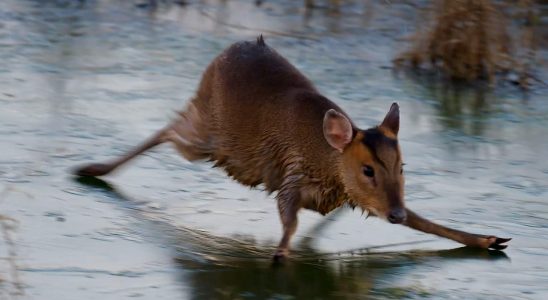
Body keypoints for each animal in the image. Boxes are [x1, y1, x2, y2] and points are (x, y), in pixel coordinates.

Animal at [73, 35, 510, 260]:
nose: (396, 213)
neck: (327, 163)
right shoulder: (290, 178)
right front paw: (280, 254)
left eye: (402, 167)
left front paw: (488, 239)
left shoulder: (357, 197)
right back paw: (92, 168)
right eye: (367, 169)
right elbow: (289, 220)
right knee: (167, 128)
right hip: (210, 135)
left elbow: (428, 222)